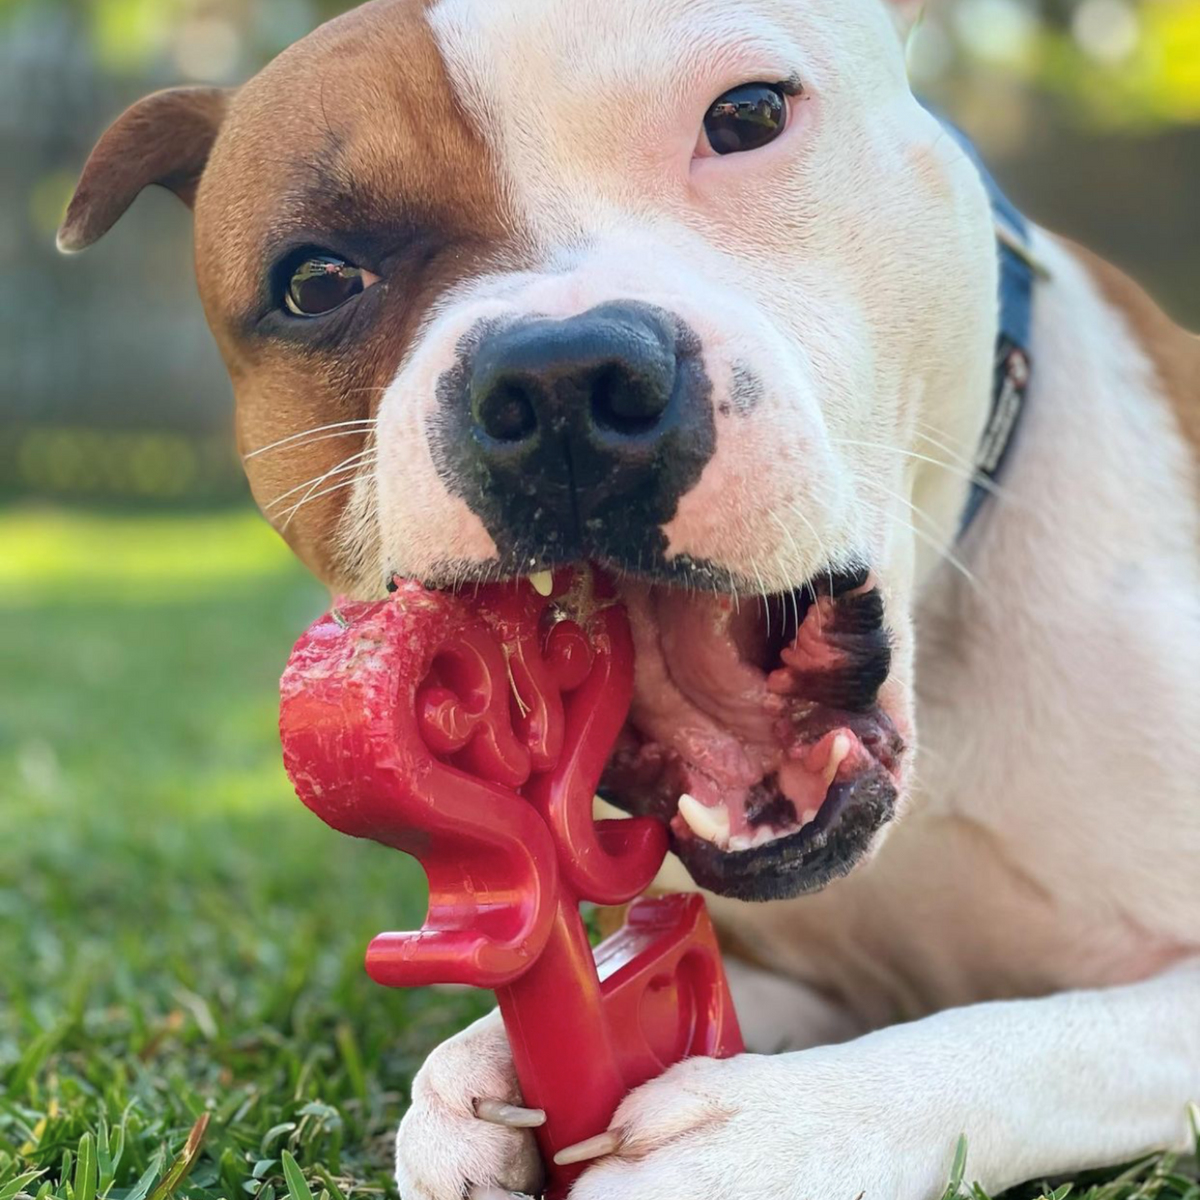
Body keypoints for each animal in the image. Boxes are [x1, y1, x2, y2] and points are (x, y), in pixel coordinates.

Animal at [60, 0, 1200, 1195]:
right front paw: (471, 1077)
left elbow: (1021, 1039)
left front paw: (783, 1132)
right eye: (315, 282)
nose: (561, 382)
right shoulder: (785, 966)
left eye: (748, 115)